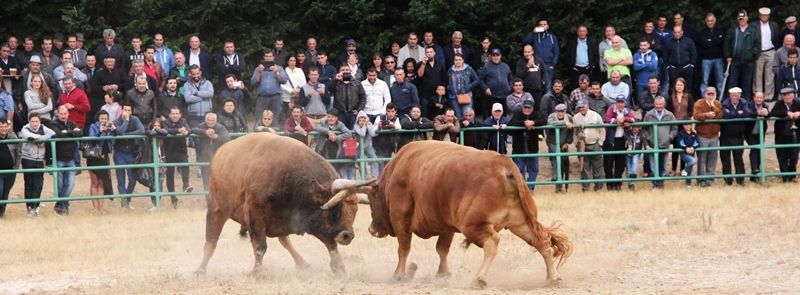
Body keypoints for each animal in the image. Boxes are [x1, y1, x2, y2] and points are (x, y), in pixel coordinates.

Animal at [197, 133, 378, 276]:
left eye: (355, 210)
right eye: (336, 208)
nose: (347, 236)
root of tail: (220, 152)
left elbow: (329, 243)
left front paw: (339, 267)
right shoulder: (254, 213)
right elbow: (260, 245)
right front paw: (257, 271)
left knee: (285, 241)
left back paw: (303, 263)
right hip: (216, 209)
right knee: (211, 241)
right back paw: (200, 269)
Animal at [366, 141, 572, 286]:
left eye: (371, 202)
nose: (371, 229)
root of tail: (504, 165)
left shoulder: (400, 218)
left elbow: (404, 248)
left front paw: (398, 275)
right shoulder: (446, 224)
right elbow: (442, 249)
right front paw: (443, 274)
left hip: (473, 225)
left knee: (492, 242)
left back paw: (479, 278)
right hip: (520, 223)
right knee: (542, 241)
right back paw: (553, 277)